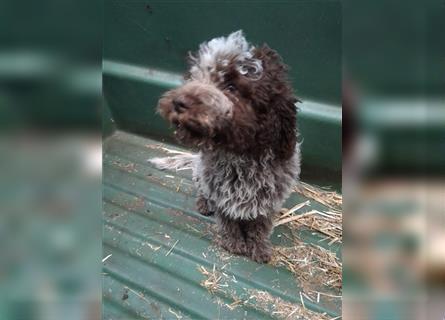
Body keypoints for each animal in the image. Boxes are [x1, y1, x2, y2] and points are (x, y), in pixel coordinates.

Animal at [151, 30, 300, 262]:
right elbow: (228, 220)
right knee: (201, 190)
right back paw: (204, 203)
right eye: (195, 76)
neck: (241, 155)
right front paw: (234, 243)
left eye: (231, 87)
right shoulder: (221, 194)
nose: (178, 103)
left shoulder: (269, 201)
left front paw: (258, 247)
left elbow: (260, 225)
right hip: (200, 173)